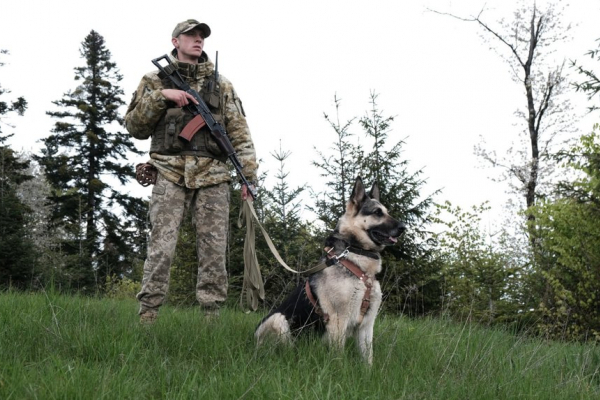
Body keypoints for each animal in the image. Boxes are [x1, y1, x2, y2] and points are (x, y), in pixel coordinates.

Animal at [255, 177, 406, 364]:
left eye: (386, 212)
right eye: (377, 213)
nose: (403, 227)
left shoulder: (367, 324)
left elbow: (368, 357)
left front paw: (368, 372)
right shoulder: (339, 319)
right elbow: (339, 356)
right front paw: (341, 370)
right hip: (278, 319)